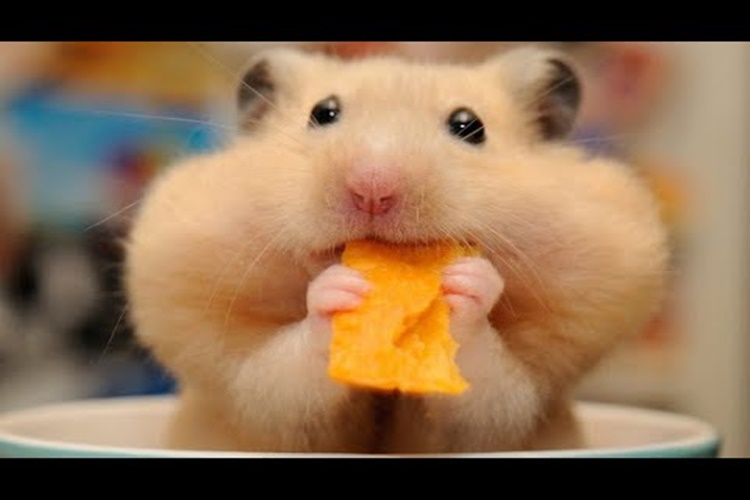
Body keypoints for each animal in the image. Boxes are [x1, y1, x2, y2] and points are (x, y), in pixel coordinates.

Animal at [124, 46, 669, 453]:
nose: (373, 187)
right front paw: (338, 291)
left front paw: (468, 284)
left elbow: (489, 394)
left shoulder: (521, 405)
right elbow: (282, 381)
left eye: (469, 126)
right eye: (323, 113)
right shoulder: (256, 399)